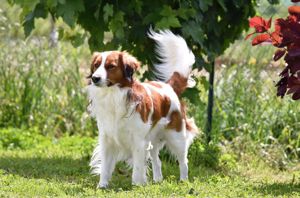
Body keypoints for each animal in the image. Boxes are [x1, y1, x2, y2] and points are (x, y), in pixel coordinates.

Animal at [86, 29, 198, 187]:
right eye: (96, 66)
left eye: (110, 66)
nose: (95, 78)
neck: (114, 95)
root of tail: (168, 86)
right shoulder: (107, 139)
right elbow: (105, 167)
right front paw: (102, 186)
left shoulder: (138, 141)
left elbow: (138, 167)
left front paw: (137, 185)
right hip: (154, 140)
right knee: (158, 161)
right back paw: (157, 180)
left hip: (177, 137)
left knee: (183, 161)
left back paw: (183, 180)